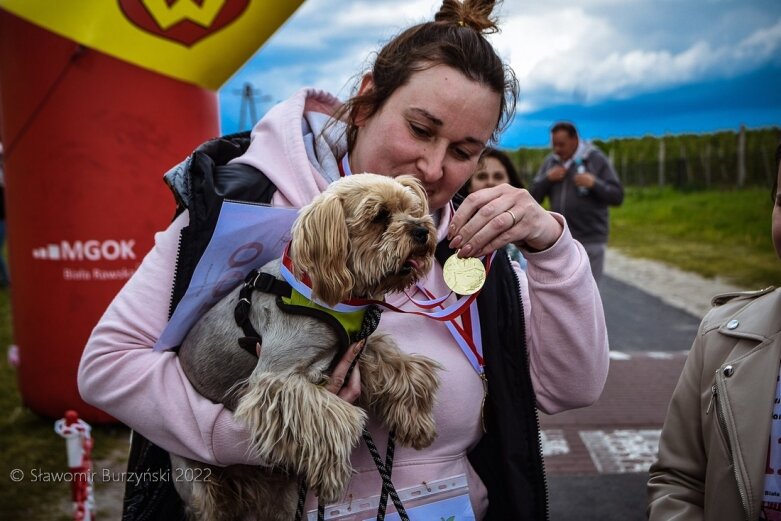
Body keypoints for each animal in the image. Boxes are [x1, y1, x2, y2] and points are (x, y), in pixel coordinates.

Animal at [171, 174, 442, 520]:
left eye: (413, 209)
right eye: (379, 216)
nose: (422, 230)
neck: (331, 296)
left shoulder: (357, 346)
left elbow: (403, 368)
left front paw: (417, 422)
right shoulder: (276, 380)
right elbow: (334, 417)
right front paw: (332, 475)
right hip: (199, 486)